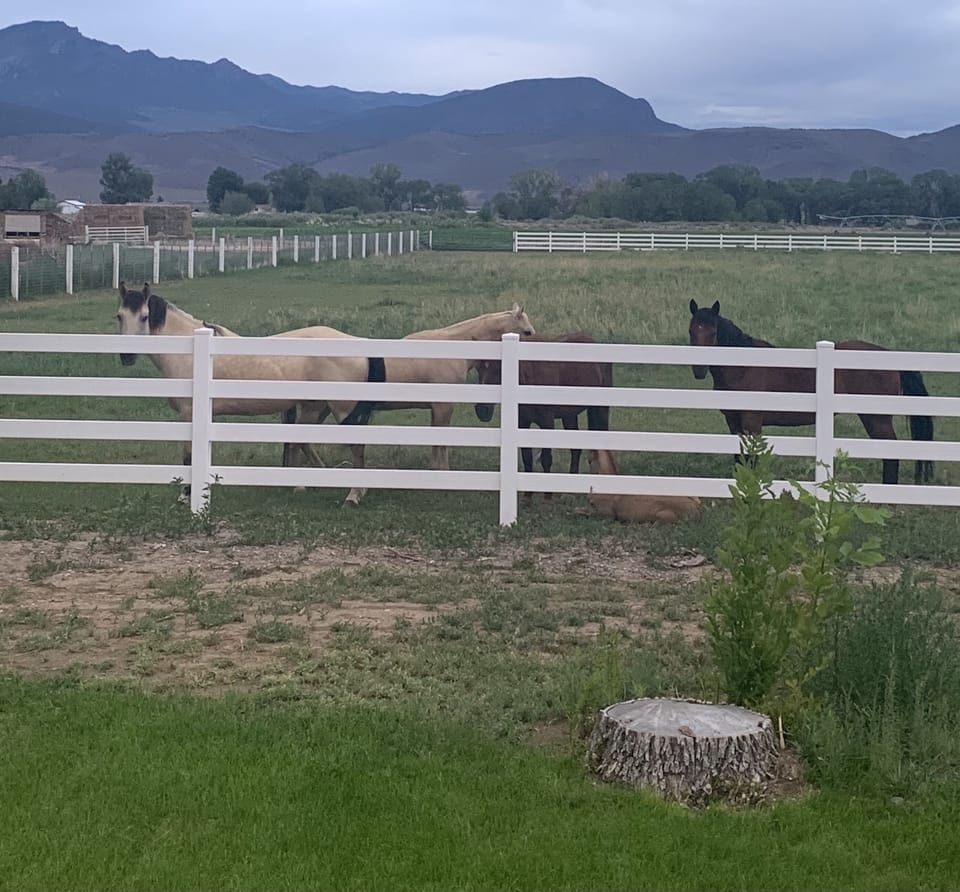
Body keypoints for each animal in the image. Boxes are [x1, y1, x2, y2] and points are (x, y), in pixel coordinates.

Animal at [473, 332, 612, 496]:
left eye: (499, 369)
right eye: (478, 370)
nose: (482, 410)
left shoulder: (547, 422)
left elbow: (546, 458)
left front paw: (547, 495)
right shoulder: (522, 422)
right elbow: (527, 457)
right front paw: (527, 496)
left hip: (599, 409)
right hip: (569, 415)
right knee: (575, 449)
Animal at [687, 299, 934, 485]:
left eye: (713, 332)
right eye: (691, 331)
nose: (698, 370)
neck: (743, 366)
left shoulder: (752, 422)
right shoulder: (733, 422)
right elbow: (739, 458)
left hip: (877, 419)